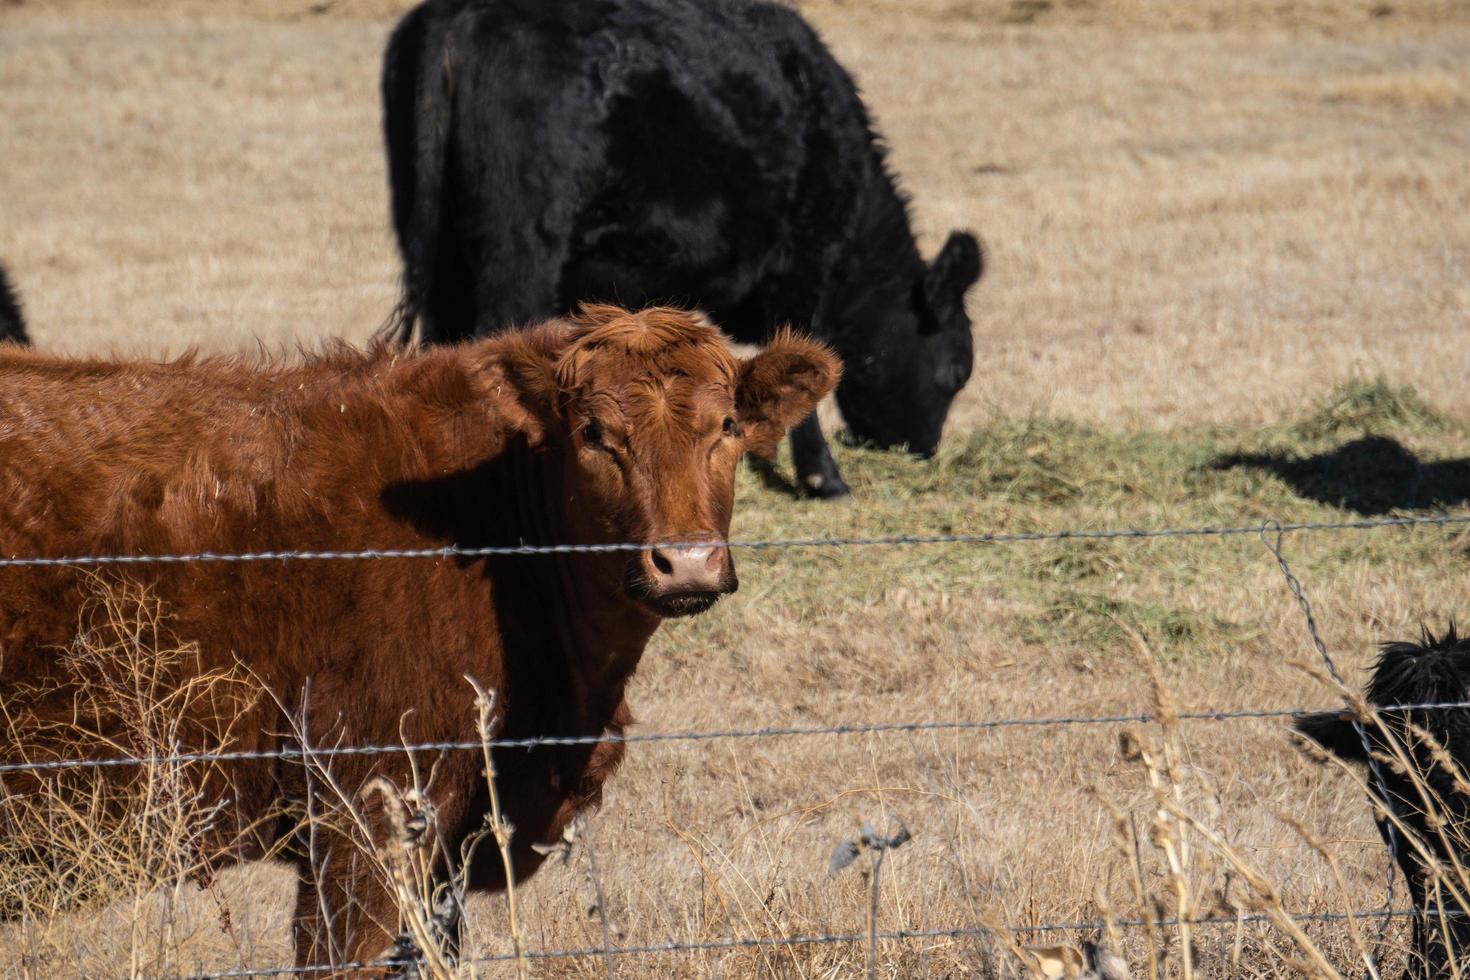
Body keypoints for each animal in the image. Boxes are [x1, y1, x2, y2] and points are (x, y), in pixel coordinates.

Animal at [382, 0, 987, 499]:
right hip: (520, 251)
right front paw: (824, 478)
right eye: (955, 371)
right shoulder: (803, 260)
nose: (923, 451)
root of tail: (466, 14)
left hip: (439, 257)